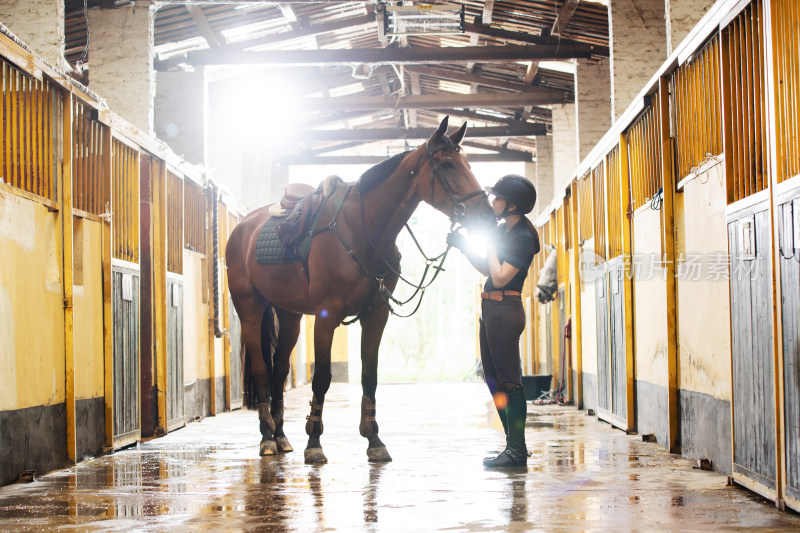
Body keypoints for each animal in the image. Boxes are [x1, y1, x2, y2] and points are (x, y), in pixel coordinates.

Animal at [222, 116, 494, 462]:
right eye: (447, 165)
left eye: (468, 163)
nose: (487, 215)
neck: (361, 231)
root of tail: (243, 228)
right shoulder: (326, 317)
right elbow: (322, 378)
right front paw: (314, 442)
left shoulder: (376, 314)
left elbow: (369, 376)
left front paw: (374, 440)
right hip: (250, 309)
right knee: (260, 369)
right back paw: (267, 438)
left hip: (290, 315)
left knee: (279, 371)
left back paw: (281, 437)